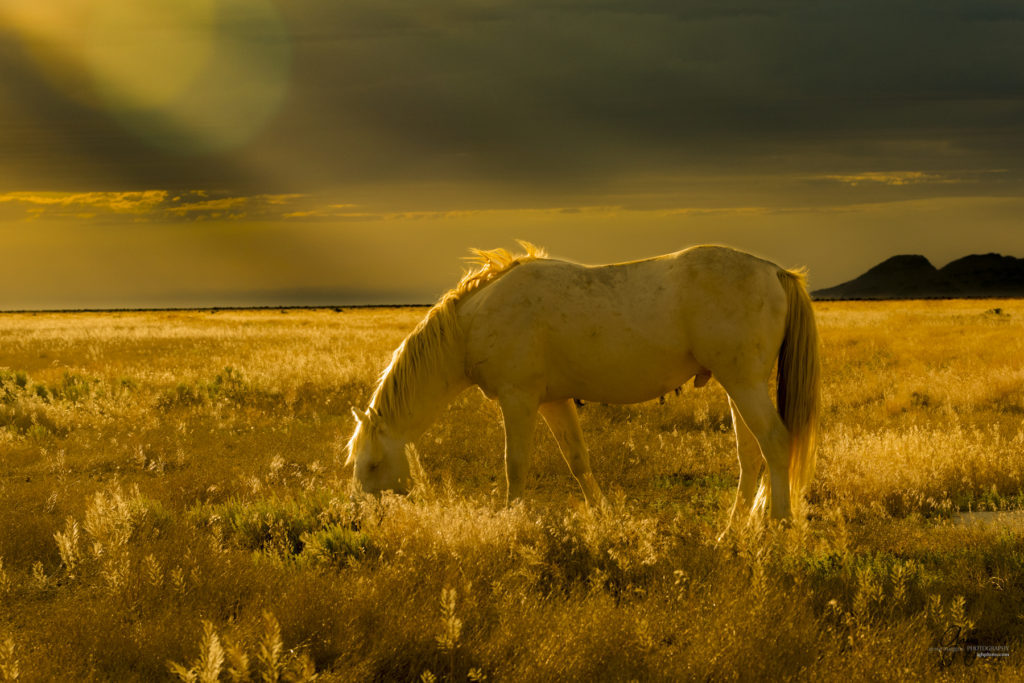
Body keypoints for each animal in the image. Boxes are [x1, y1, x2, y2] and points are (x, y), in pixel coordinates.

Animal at [348, 244, 819, 528]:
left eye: (372, 465)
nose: (362, 521)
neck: (475, 321)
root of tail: (775, 272)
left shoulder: (518, 400)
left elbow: (515, 465)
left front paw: (513, 523)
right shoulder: (553, 402)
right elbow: (578, 462)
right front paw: (605, 519)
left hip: (745, 385)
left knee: (776, 444)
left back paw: (778, 527)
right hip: (737, 386)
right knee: (751, 456)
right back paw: (733, 533)